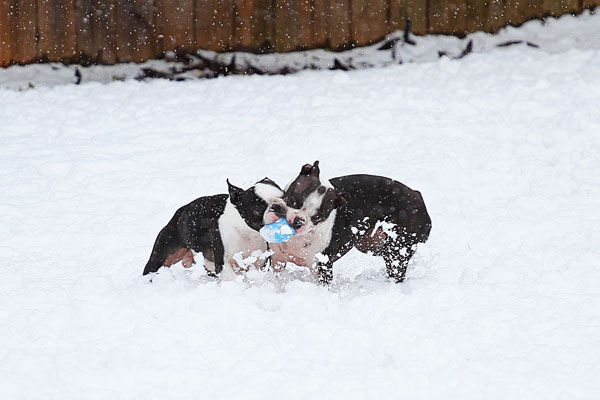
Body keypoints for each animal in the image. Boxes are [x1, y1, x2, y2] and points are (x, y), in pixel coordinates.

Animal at [145, 178, 286, 278]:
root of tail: (181, 211)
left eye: (285, 197)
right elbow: (234, 279)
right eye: (258, 209)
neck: (247, 232)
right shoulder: (223, 264)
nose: (277, 206)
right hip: (163, 253)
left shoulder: (259, 261)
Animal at [268, 162, 432, 284]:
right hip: (369, 244)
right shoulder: (277, 260)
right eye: (292, 200)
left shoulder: (322, 267)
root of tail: (418, 196)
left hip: (398, 251)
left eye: (317, 217)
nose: (298, 221)